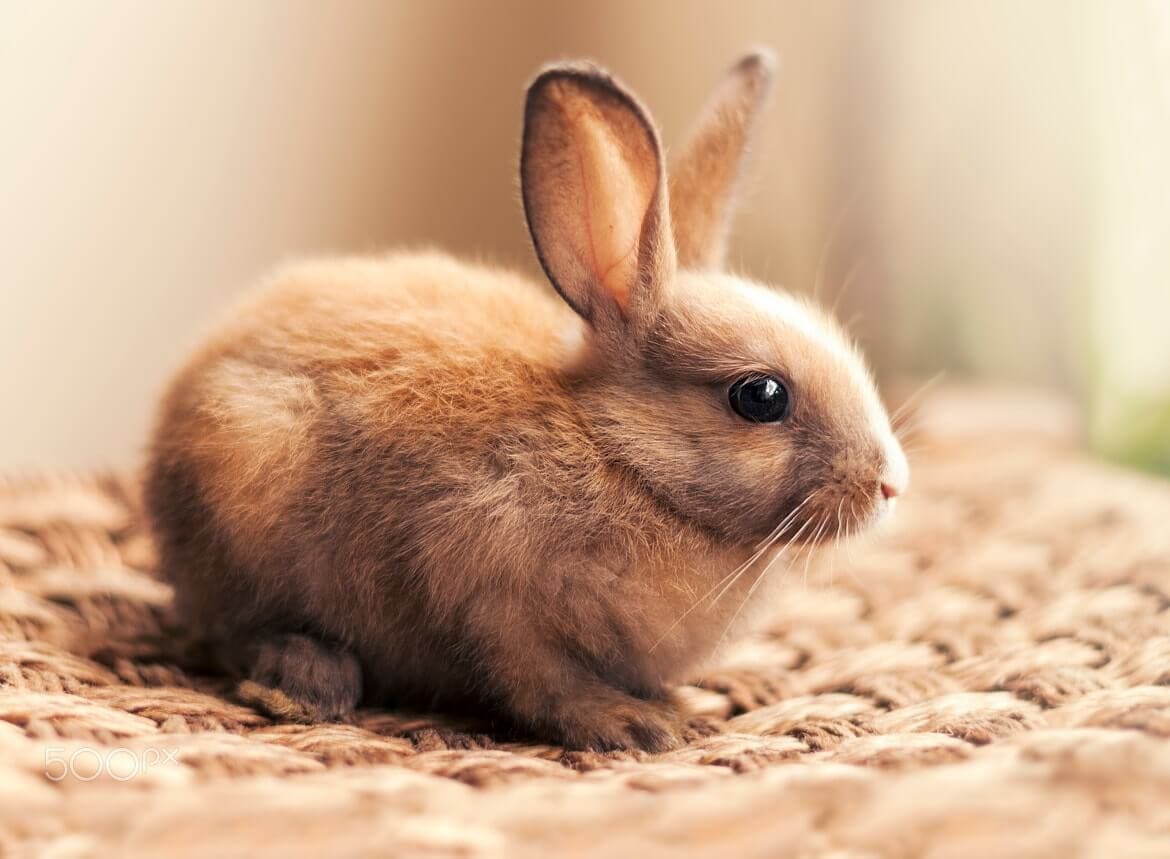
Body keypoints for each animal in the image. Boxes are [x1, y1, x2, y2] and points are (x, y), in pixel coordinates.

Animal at [144, 49, 908, 752]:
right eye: (760, 395)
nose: (890, 483)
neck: (625, 458)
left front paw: (669, 706)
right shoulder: (495, 601)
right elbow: (541, 681)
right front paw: (632, 725)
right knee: (234, 631)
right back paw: (306, 681)